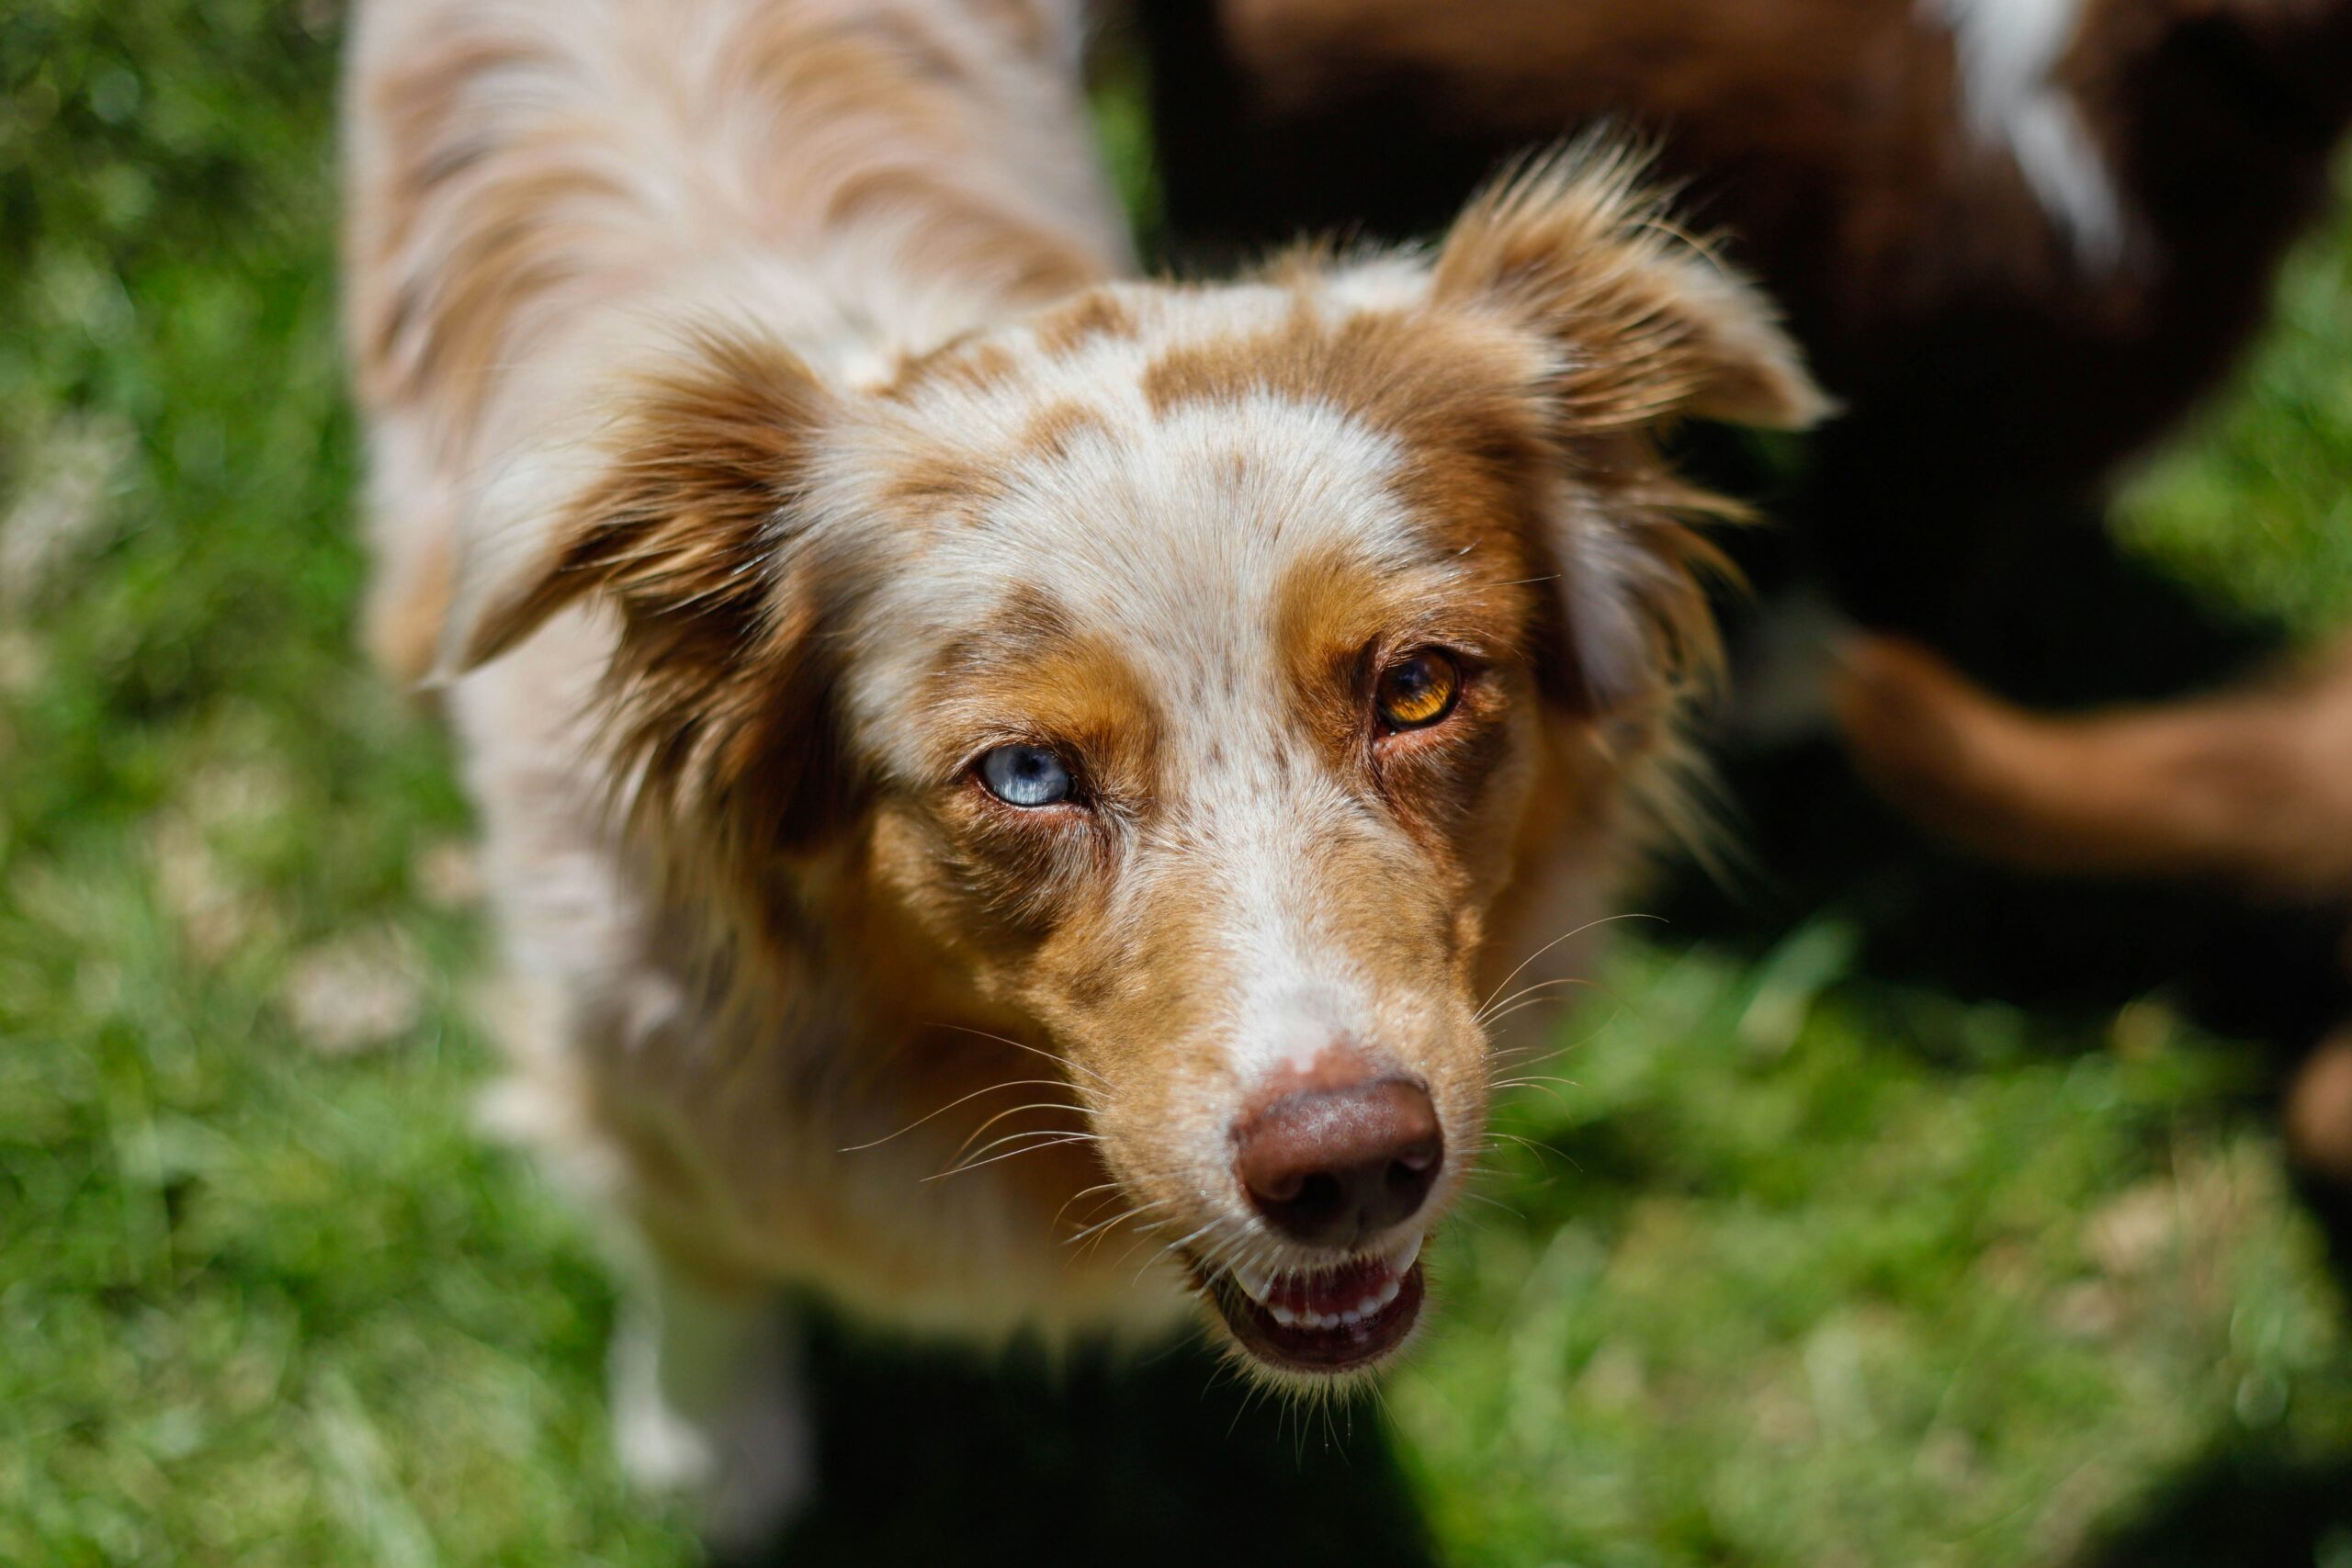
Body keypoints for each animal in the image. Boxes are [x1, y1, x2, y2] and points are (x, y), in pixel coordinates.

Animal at [341, 0, 1825, 1541]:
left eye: (1417, 685)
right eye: (1026, 771)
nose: (1351, 1158)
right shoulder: (633, 1041)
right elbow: (699, 1245)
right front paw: (711, 1450)